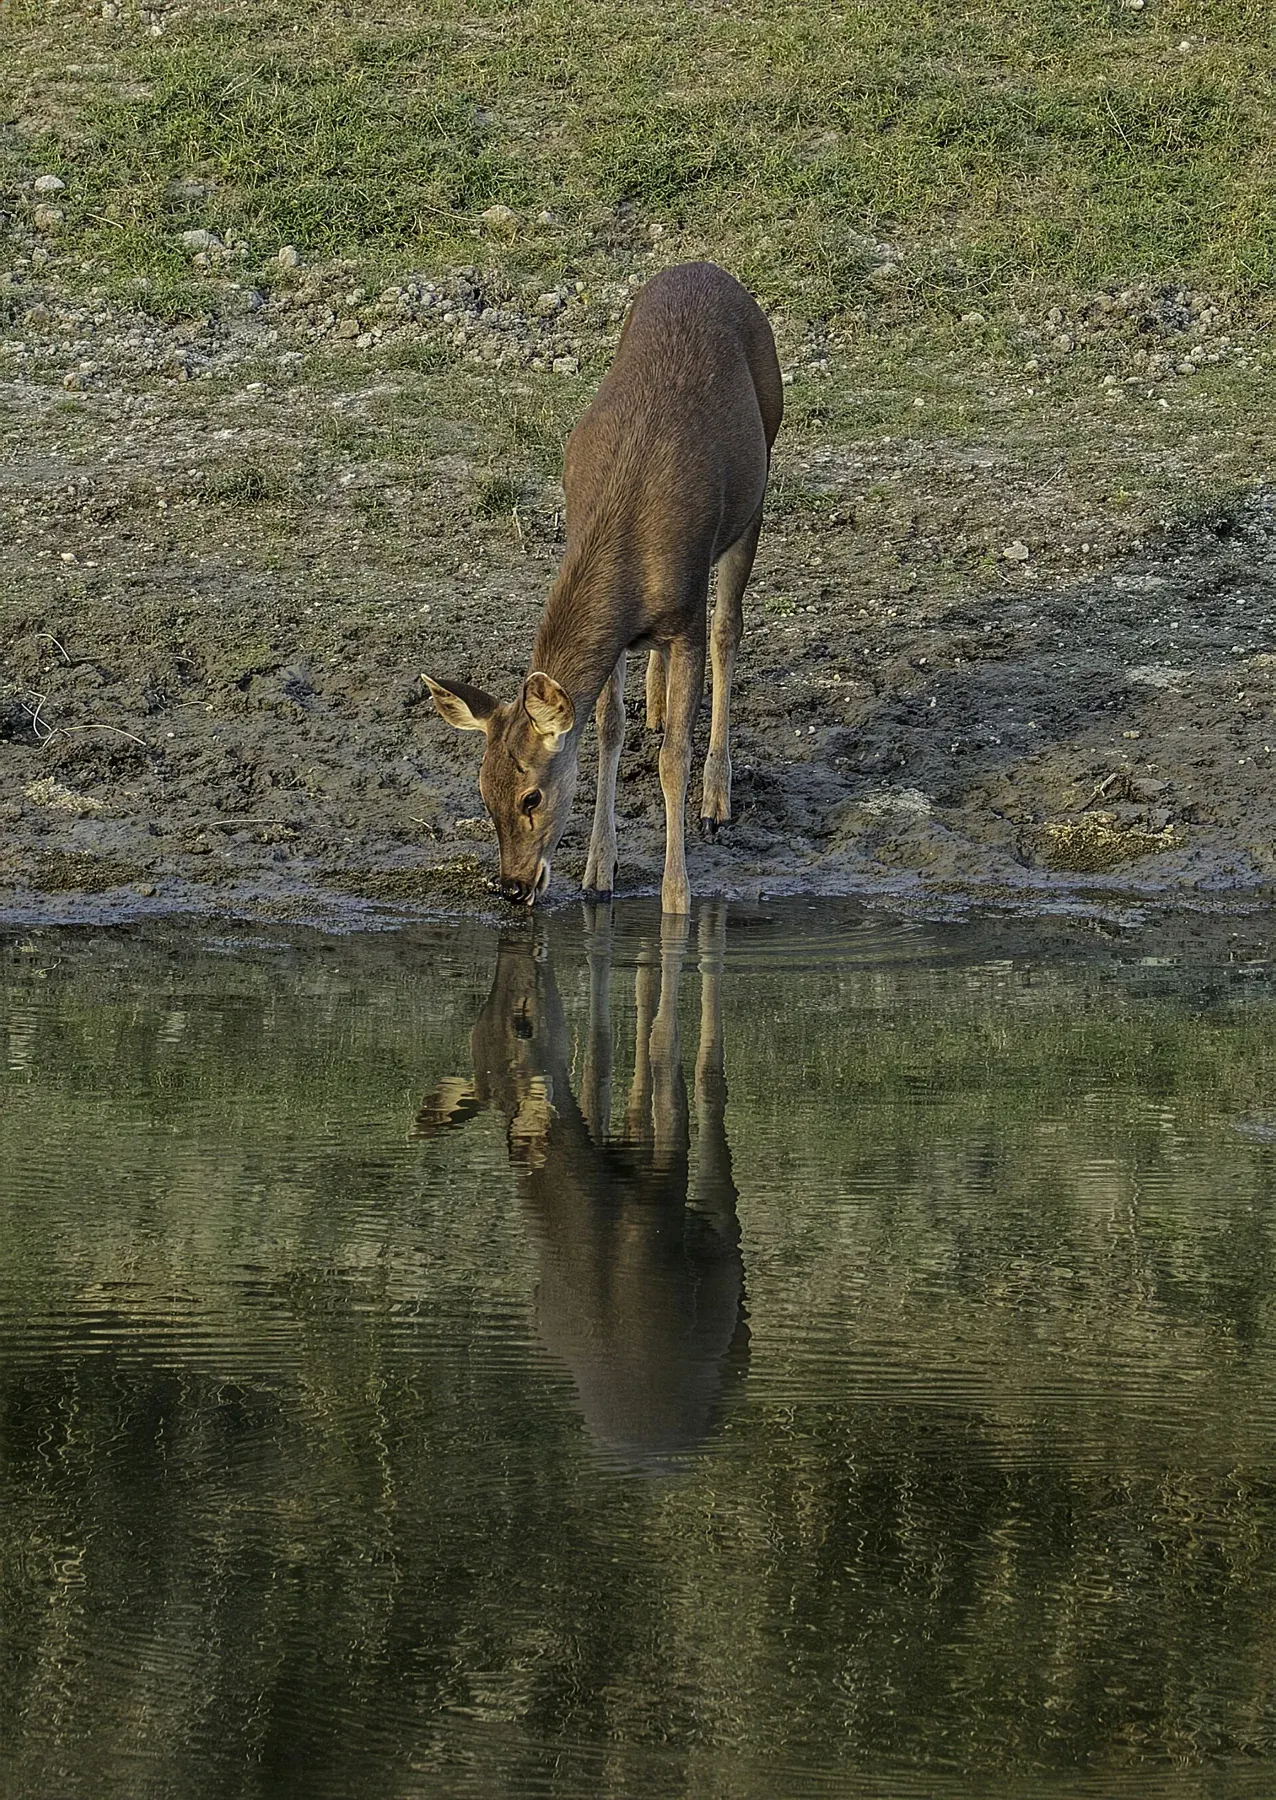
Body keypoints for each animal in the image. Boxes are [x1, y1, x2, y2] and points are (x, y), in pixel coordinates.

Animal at [411, 905, 747, 1471]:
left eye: (520, 1023)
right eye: (480, 1021)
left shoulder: (672, 1196)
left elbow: (668, 1057)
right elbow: (606, 1057)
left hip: (730, 1290)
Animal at [424, 261, 783, 915]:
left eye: (532, 797)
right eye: (484, 795)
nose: (513, 887)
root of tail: (707, 268)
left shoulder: (685, 617)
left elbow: (673, 760)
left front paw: (675, 894)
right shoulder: (616, 637)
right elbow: (609, 731)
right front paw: (598, 871)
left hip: (758, 481)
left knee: (730, 628)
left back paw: (716, 799)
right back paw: (658, 708)